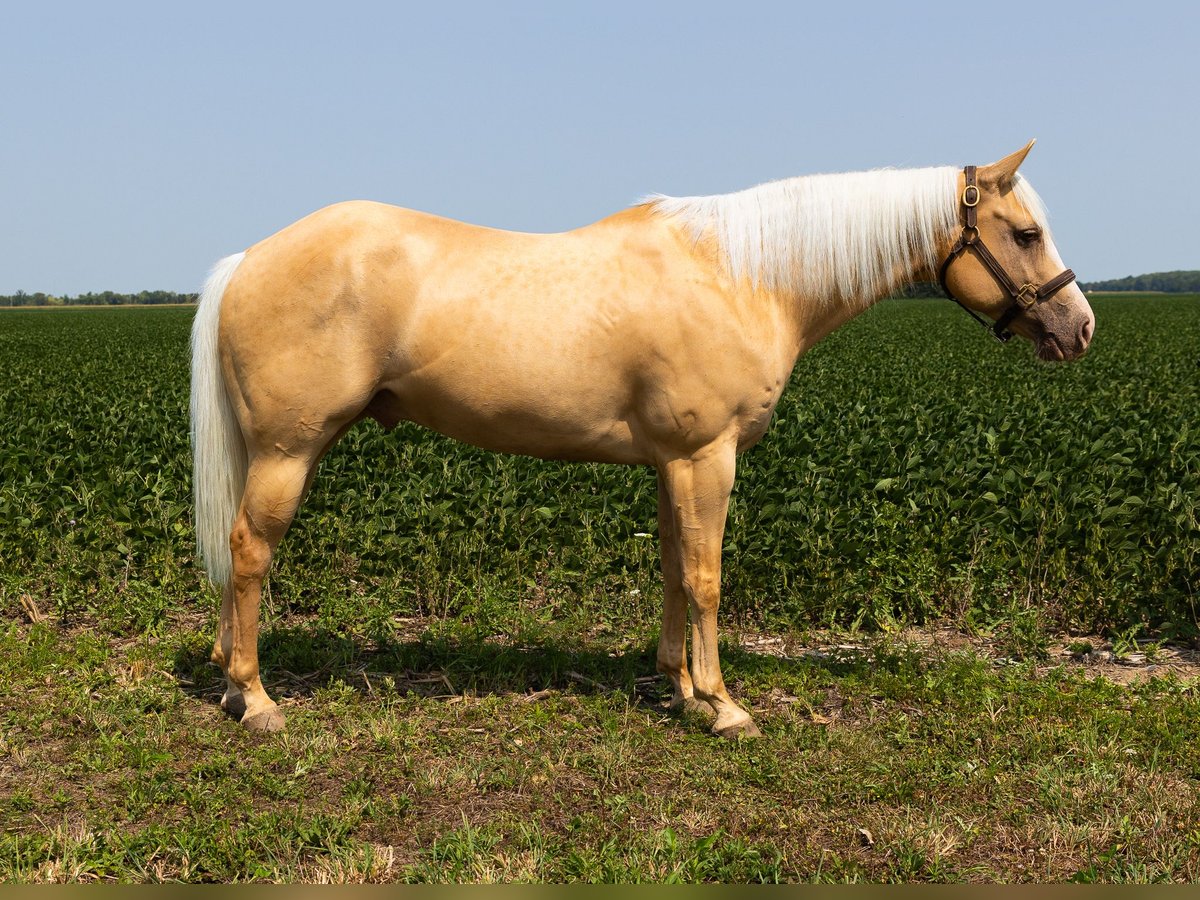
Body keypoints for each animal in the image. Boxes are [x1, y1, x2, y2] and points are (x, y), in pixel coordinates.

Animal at [189, 137, 1099, 734]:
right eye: (1025, 233)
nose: (1080, 328)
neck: (742, 275)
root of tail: (247, 260)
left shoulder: (672, 463)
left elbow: (671, 569)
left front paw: (681, 689)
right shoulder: (708, 458)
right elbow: (707, 578)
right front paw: (725, 707)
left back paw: (234, 687)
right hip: (289, 452)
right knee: (250, 552)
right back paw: (257, 700)